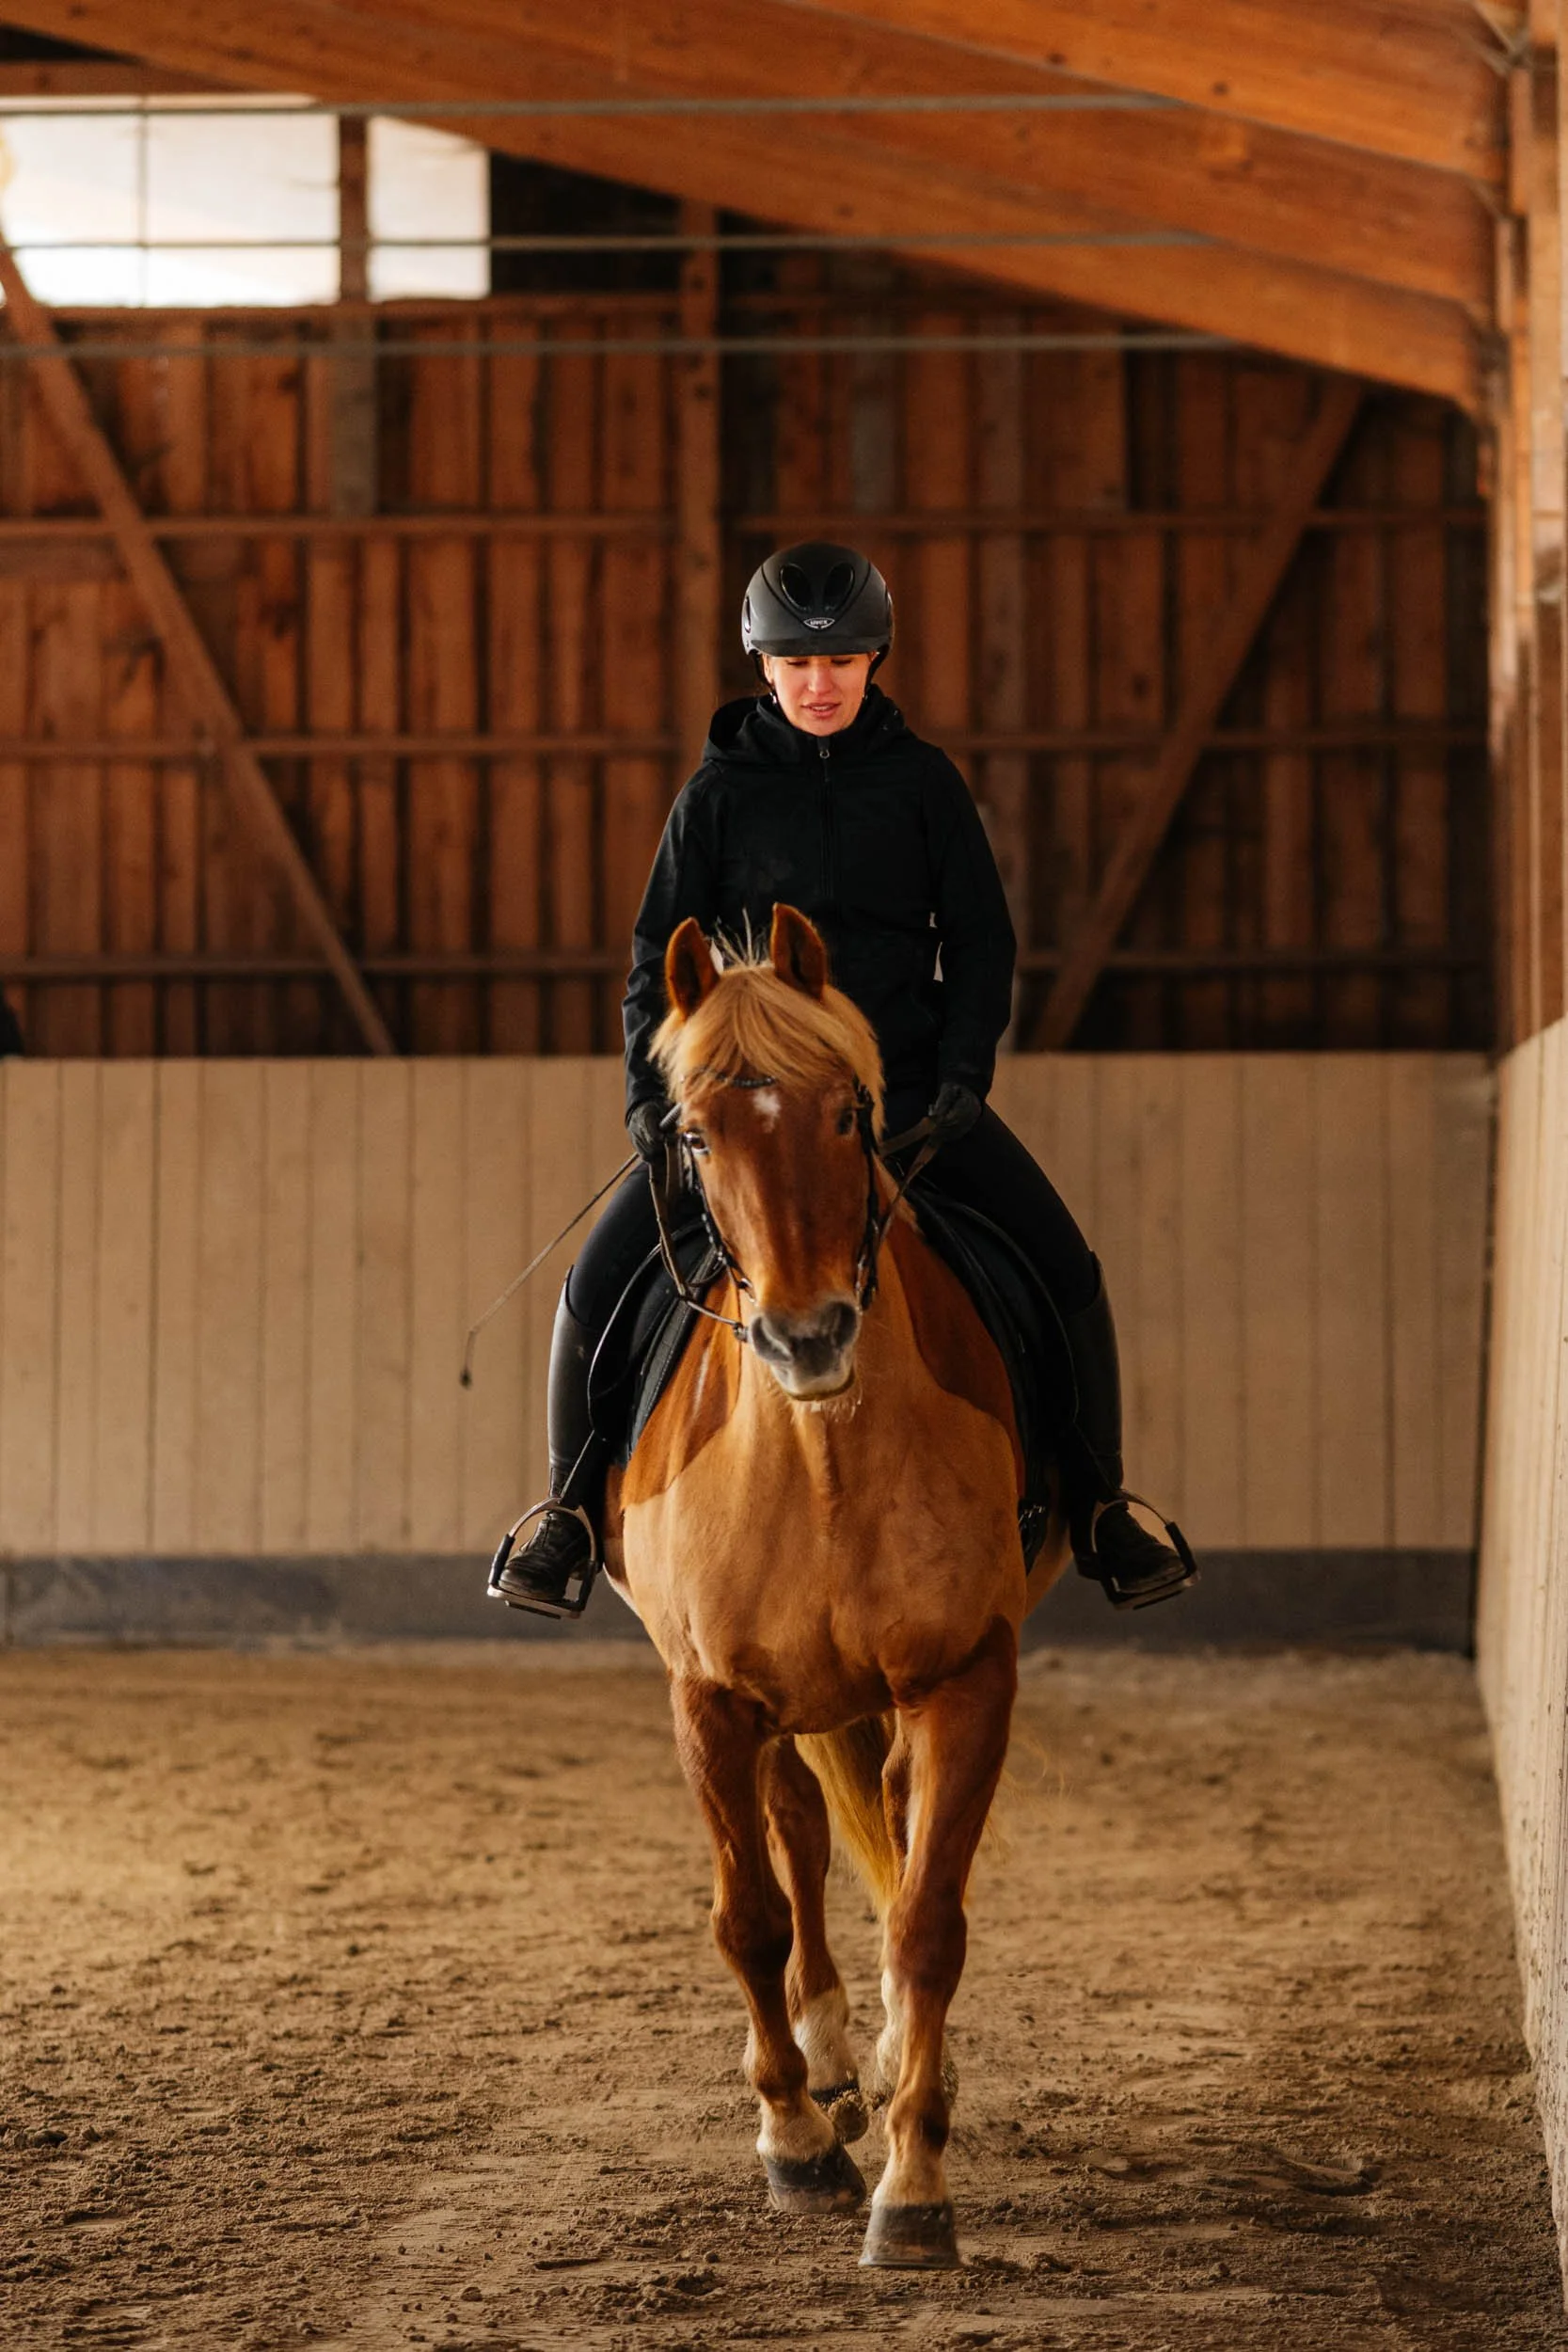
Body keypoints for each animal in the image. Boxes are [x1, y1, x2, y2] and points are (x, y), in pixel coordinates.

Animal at [599, 901, 1070, 2271]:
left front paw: (913, 2184)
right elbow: (748, 1916)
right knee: (798, 1838)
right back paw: (820, 2059)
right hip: (770, 1709)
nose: (805, 1336)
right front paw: (796, 2140)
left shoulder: (964, 1679)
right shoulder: (707, 1697)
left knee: (888, 1832)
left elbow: (926, 1918)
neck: (818, 1453)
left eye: (850, 1116)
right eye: (697, 1132)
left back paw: (899, 2064)